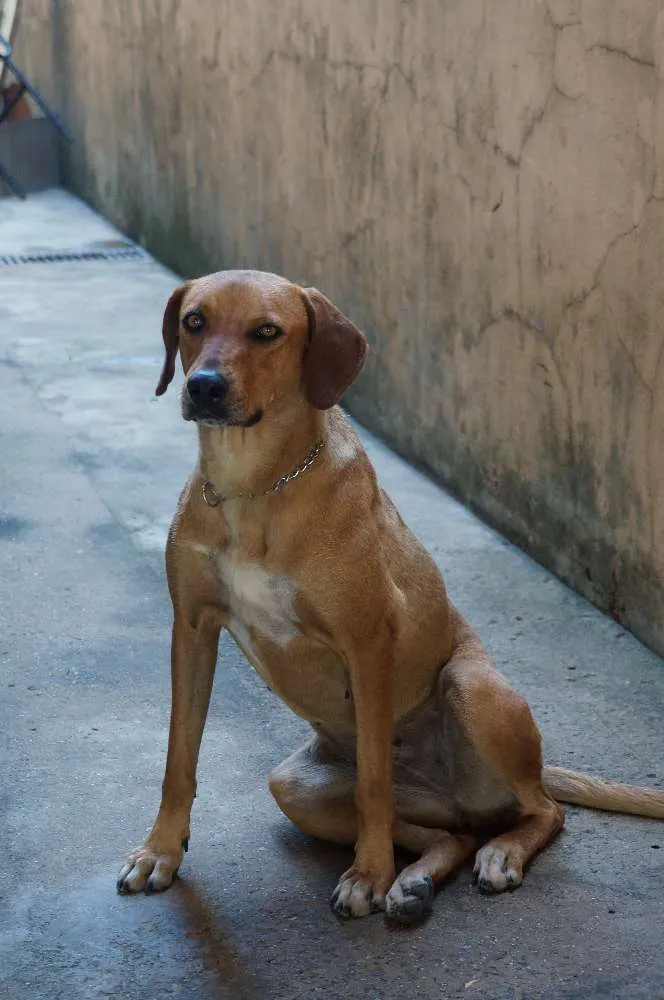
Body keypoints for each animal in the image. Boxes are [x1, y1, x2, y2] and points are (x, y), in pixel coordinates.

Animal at [116, 268, 664, 920]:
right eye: (194, 322)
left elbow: (373, 780)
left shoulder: (368, 641)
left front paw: (370, 874)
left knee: (543, 812)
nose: (203, 387)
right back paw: (415, 881)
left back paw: (495, 854)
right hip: (296, 787)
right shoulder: (192, 628)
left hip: (472, 689)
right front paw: (160, 850)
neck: (255, 488)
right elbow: (179, 755)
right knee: (451, 835)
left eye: (267, 332)